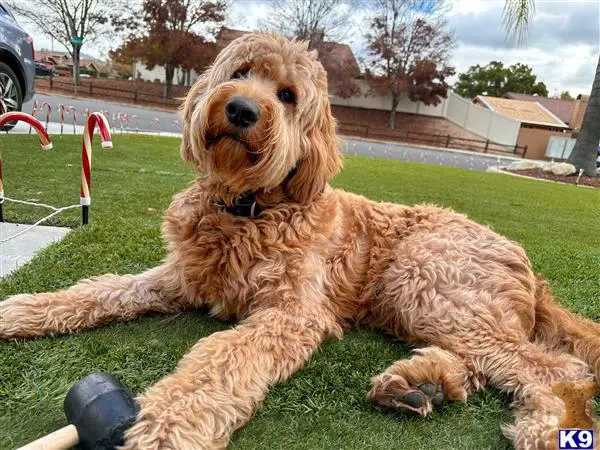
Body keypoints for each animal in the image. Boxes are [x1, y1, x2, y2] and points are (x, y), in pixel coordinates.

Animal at [1, 33, 600, 448]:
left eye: (287, 96)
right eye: (239, 72)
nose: (241, 108)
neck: (248, 208)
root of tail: (531, 272)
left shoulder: (292, 312)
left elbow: (222, 356)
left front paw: (170, 422)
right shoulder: (180, 277)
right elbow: (103, 288)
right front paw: (21, 311)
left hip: (427, 280)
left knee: (555, 369)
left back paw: (546, 426)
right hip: (429, 302)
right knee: (484, 363)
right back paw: (420, 384)